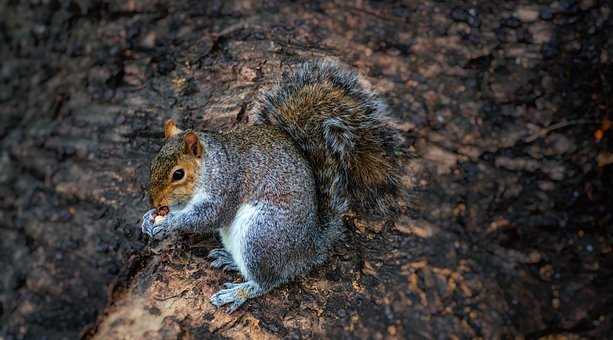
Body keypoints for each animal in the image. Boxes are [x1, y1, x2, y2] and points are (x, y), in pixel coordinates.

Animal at [140, 59, 400, 312]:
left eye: (178, 174)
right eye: (152, 163)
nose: (154, 201)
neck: (211, 167)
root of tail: (309, 249)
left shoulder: (227, 187)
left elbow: (207, 217)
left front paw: (169, 224)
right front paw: (149, 218)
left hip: (260, 235)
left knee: (268, 281)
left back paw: (237, 293)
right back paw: (228, 258)